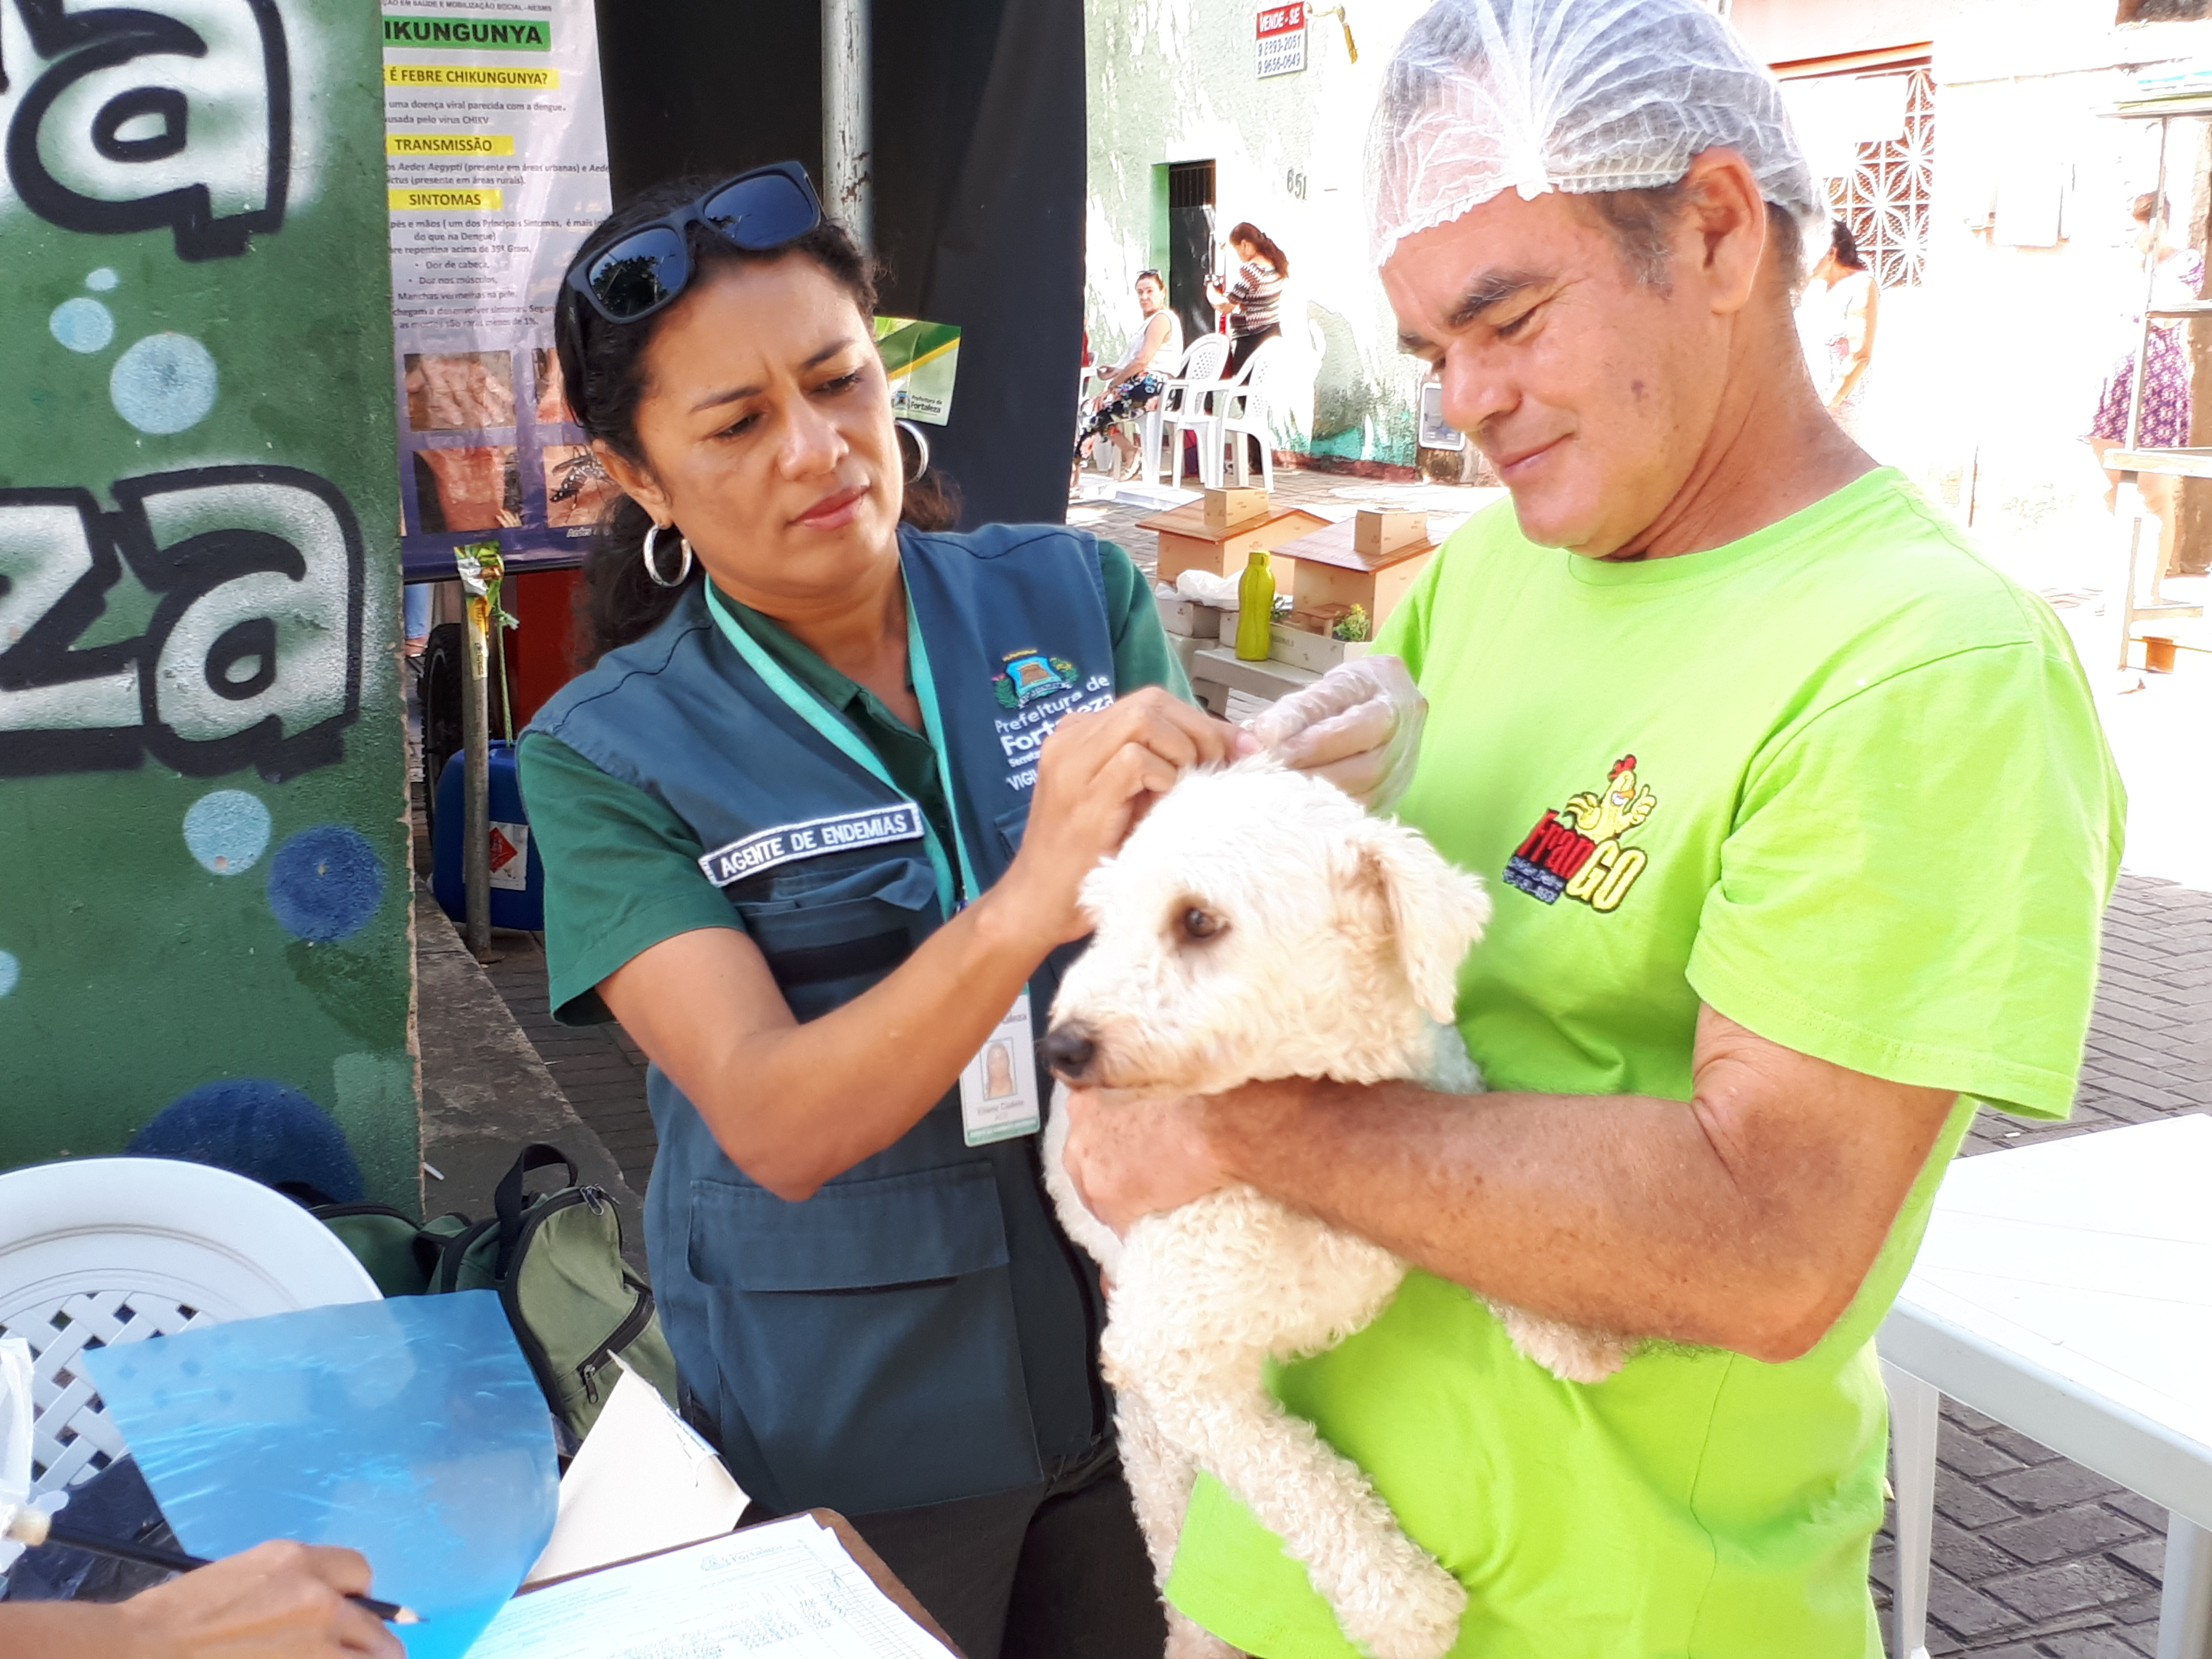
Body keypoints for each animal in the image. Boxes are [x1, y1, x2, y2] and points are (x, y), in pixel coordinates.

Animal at [1035, 761, 1628, 1659]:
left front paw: (1567, 1322)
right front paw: (1402, 1602)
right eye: (1104, 921)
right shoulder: (1168, 1357)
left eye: (1198, 920)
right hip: (1152, 1450)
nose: (1061, 1047)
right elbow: (1299, 1477)